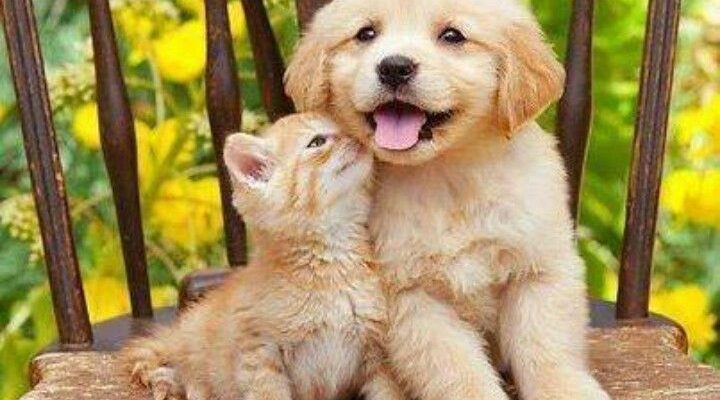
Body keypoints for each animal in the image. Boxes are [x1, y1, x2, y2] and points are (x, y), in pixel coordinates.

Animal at [122, 113, 405, 400]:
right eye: (317, 142)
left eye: (347, 126)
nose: (360, 137)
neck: (329, 263)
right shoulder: (259, 353)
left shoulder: (377, 351)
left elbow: (388, 392)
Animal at [285, 0, 611, 399]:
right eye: (366, 34)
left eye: (453, 36)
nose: (394, 67)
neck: (449, 175)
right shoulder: (413, 298)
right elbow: (459, 373)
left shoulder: (538, 271)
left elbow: (547, 351)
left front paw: (566, 389)